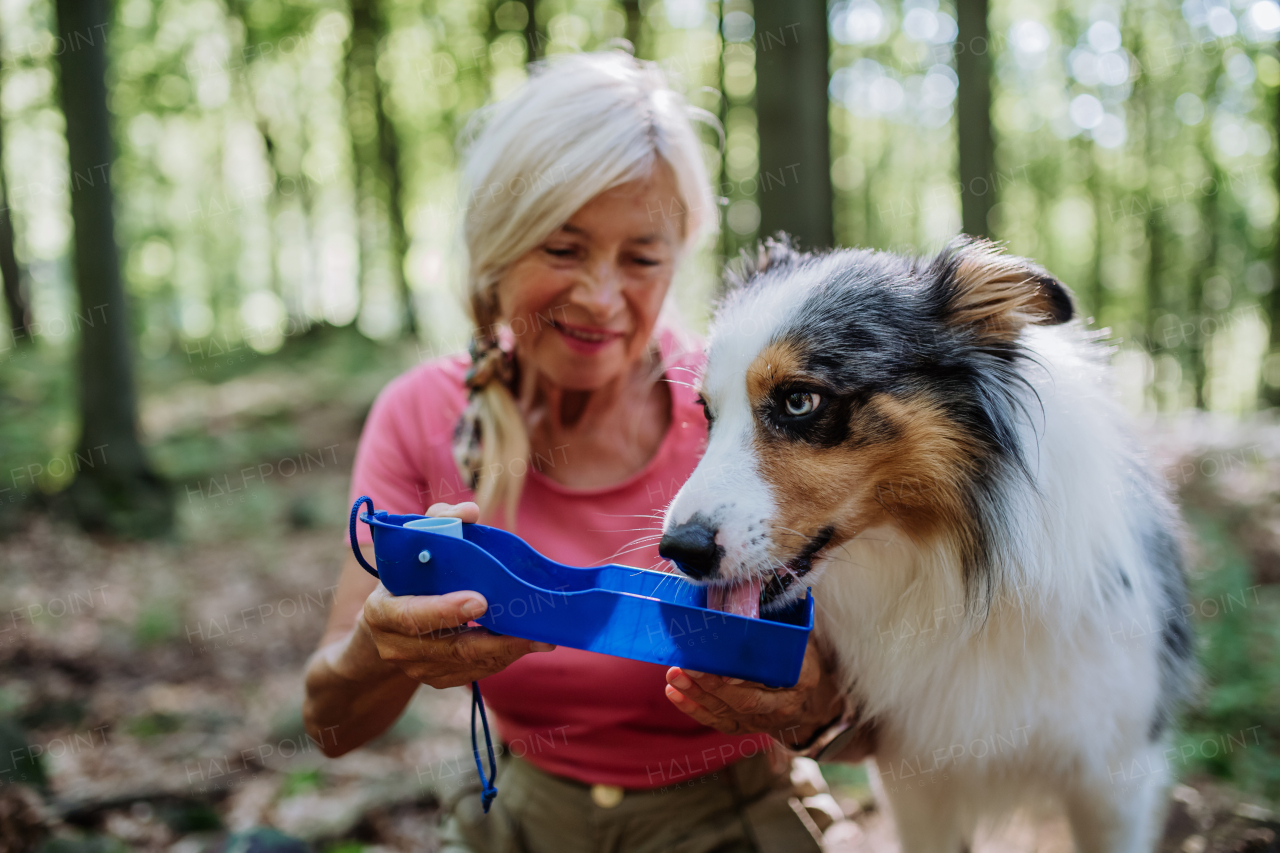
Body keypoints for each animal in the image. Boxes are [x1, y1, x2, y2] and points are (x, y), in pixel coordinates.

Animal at [665, 235, 1192, 850]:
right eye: (707, 411)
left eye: (800, 401)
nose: (679, 550)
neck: (959, 566)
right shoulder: (917, 783)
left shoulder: (1114, 780)